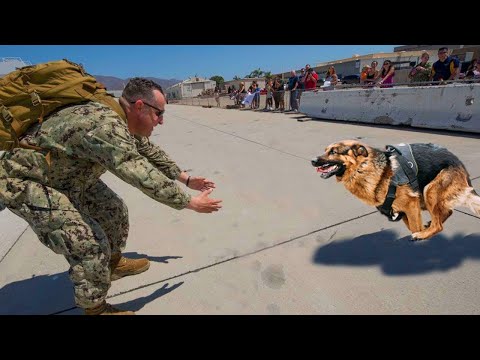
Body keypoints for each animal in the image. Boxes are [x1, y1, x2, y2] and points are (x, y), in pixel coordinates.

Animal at [312, 140, 480, 239]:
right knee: (446, 212)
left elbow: (414, 227)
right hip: (425, 197)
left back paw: (424, 233)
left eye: (333, 151)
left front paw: (419, 234)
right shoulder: (402, 210)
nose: (313, 161)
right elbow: (410, 225)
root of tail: (459, 162)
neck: (363, 168)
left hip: (429, 191)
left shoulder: (411, 205)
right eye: (325, 150)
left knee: (439, 224)